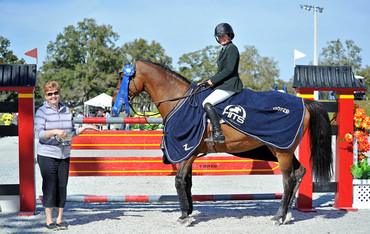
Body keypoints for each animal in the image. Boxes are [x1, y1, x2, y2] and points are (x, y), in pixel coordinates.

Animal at [112, 59, 332, 227]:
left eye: (123, 77)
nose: (114, 103)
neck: (179, 101)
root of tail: (304, 102)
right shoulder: (190, 152)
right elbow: (187, 181)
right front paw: (189, 211)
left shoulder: (187, 150)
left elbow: (179, 180)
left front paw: (184, 217)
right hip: (281, 149)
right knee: (300, 171)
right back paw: (287, 213)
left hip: (281, 151)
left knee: (288, 180)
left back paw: (278, 217)